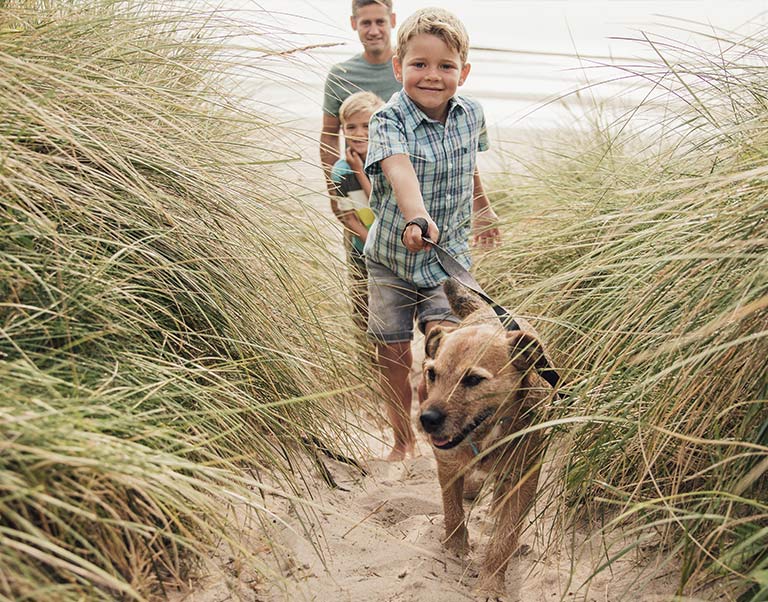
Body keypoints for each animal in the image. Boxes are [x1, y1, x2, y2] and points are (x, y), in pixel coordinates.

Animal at [420, 278, 552, 596]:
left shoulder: (523, 479)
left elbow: (505, 537)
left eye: (473, 380)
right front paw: (455, 547)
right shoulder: (448, 466)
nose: (426, 419)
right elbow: (453, 510)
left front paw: (491, 584)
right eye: (431, 374)